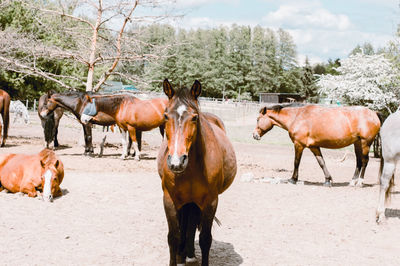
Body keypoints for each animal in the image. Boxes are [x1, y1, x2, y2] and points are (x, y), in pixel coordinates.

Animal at [157, 79, 238, 266]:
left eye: (194, 117)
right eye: (165, 116)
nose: (176, 162)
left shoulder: (211, 201)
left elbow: (205, 239)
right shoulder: (169, 200)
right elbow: (173, 236)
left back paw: (189, 253)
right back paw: (183, 254)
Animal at [253, 103, 382, 186]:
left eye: (258, 119)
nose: (254, 135)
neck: (297, 117)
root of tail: (373, 113)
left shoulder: (298, 145)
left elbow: (296, 162)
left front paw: (293, 179)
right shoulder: (314, 147)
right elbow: (321, 162)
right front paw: (328, 180)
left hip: (365, 143)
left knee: (364, 161)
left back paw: (360, 182)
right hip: (357, 143)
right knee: (359, 162)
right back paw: (352, 181)